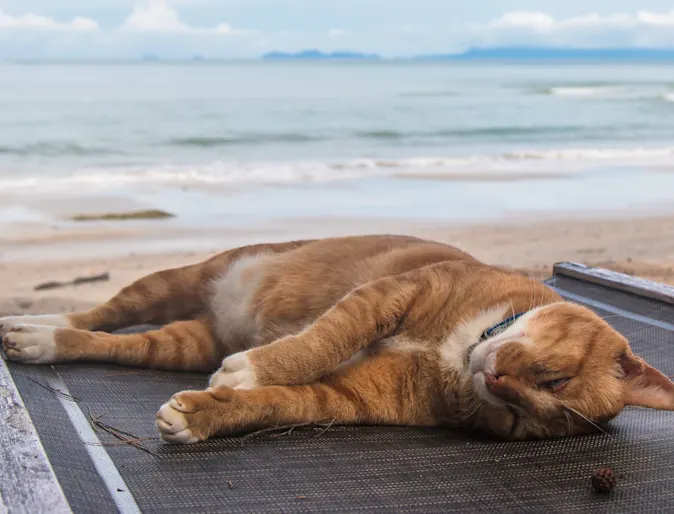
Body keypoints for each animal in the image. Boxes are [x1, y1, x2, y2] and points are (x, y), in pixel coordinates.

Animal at [1, 234, 672, 442]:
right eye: (554, 378)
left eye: (520, 421)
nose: (496, 379)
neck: (458, 352)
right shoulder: (389, 296)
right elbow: (320, 341)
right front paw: (256, 367)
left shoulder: (349, 398)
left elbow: (283, 403)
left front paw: (206, 413)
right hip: (170, 281)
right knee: (102, 312)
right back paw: (37, 327)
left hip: (184, 344)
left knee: (116, 342)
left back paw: (41, 337)